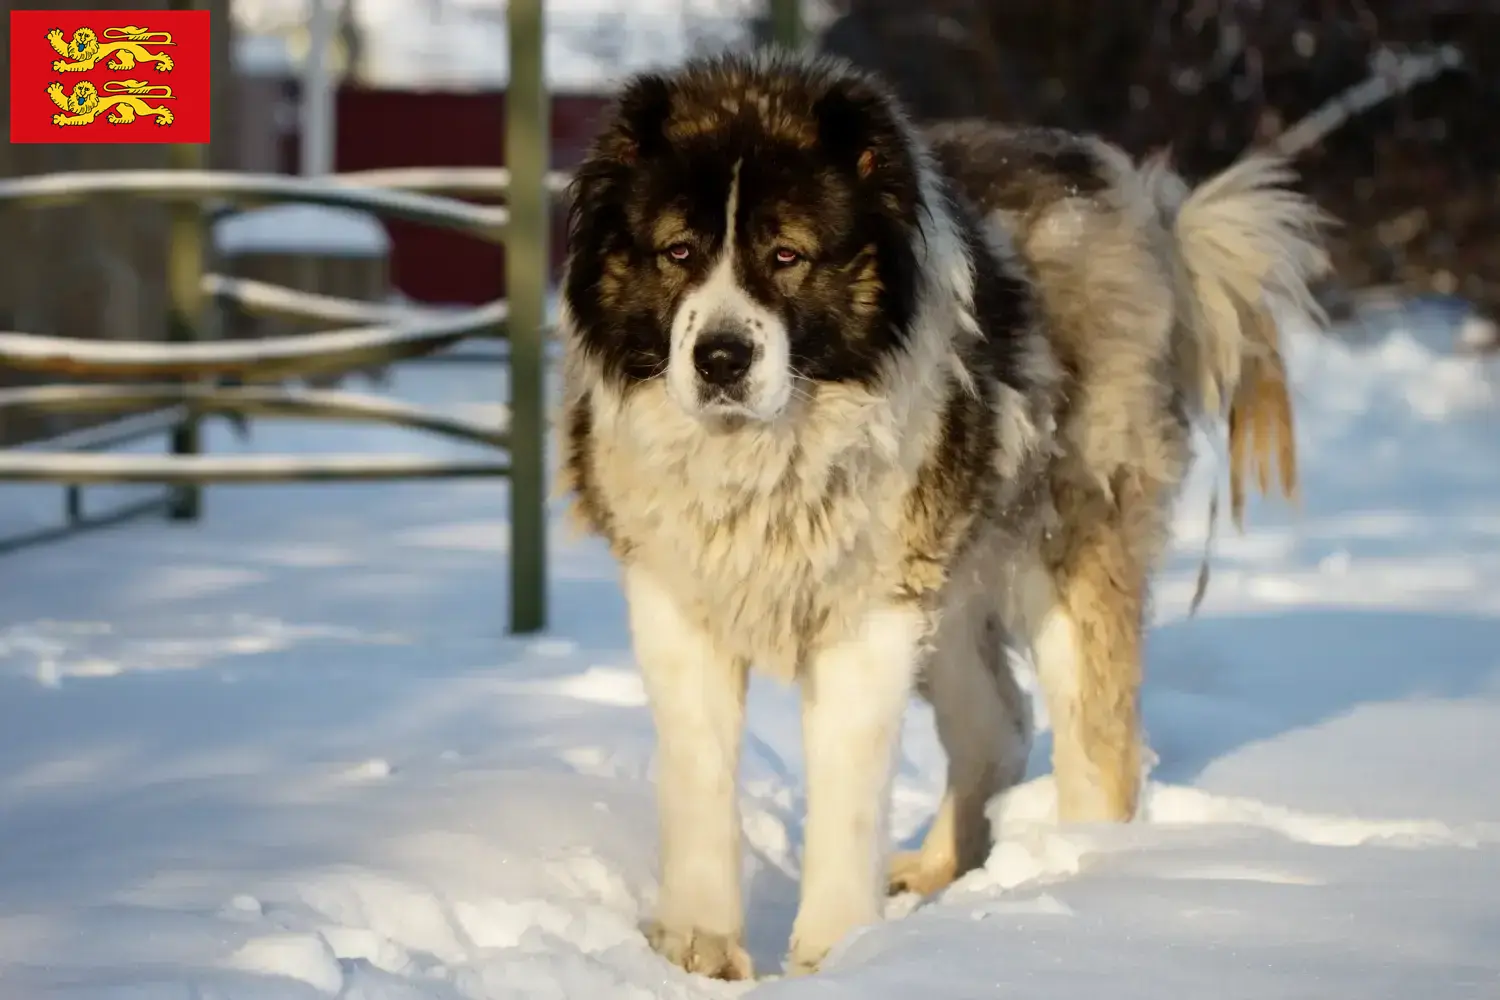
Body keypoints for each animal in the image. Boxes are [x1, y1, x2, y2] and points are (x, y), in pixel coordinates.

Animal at [558, 50, 1332, 983]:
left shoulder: (870, 613)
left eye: (787, 254)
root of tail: (1148, 210)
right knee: (998, 724)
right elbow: (699, 775)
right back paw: (936, 874)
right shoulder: (679, 601)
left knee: (1096, 746)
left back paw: (1092, 893)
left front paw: (833, 954)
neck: (766, 456)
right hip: (953, 590)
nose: (721, 358)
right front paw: (699, 951)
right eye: (677, 251)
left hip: (1065, 546)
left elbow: (847, 787)